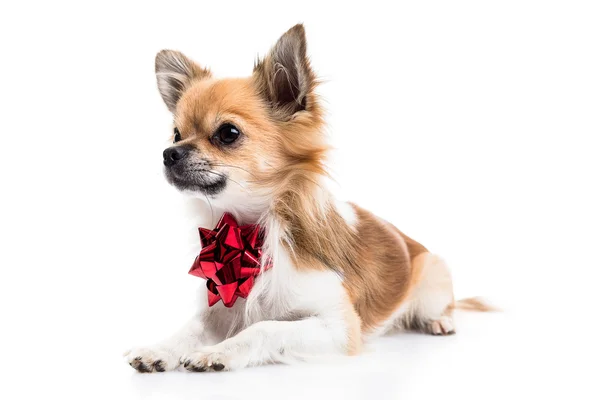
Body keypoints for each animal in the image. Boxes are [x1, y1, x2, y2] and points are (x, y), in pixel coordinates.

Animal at [124, 25, 490, 374]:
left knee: (443, 306)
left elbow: (264, 328)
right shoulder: (222, 307)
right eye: (176, 134)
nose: (168, 153)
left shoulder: (340, 327)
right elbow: (192, 327)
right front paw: (159, 349)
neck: (252, 229)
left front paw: (217, 352)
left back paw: (440, 321)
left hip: (433, 277)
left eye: (228, 133)